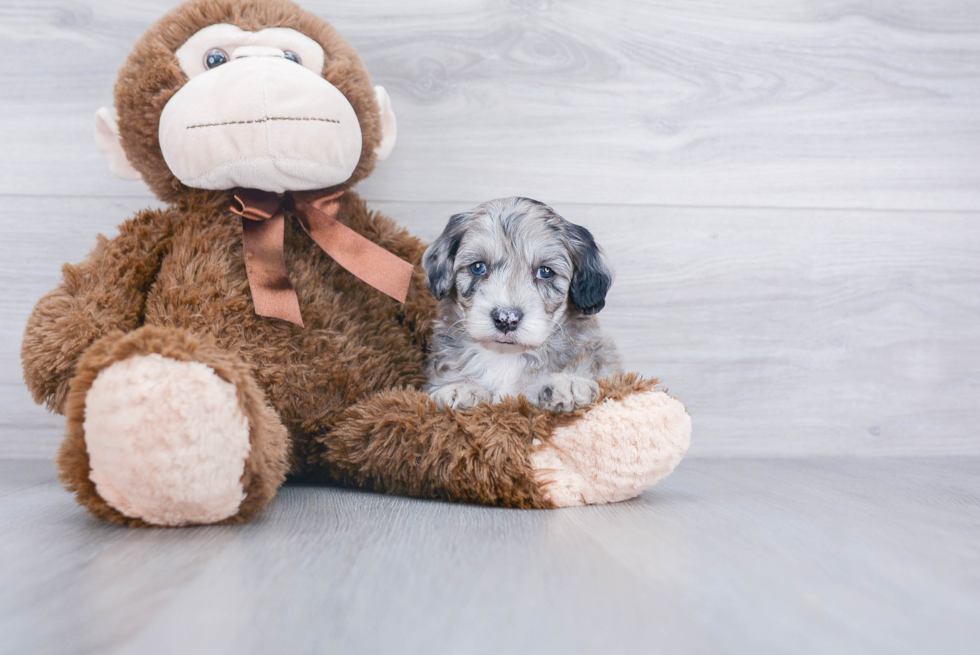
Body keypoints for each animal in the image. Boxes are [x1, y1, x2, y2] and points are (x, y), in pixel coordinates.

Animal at [422, 199, 620, 416]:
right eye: (478, 267)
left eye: (545, 272)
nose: (506, 318)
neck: (507, 357)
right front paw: (460, 387)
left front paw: (568, 383)